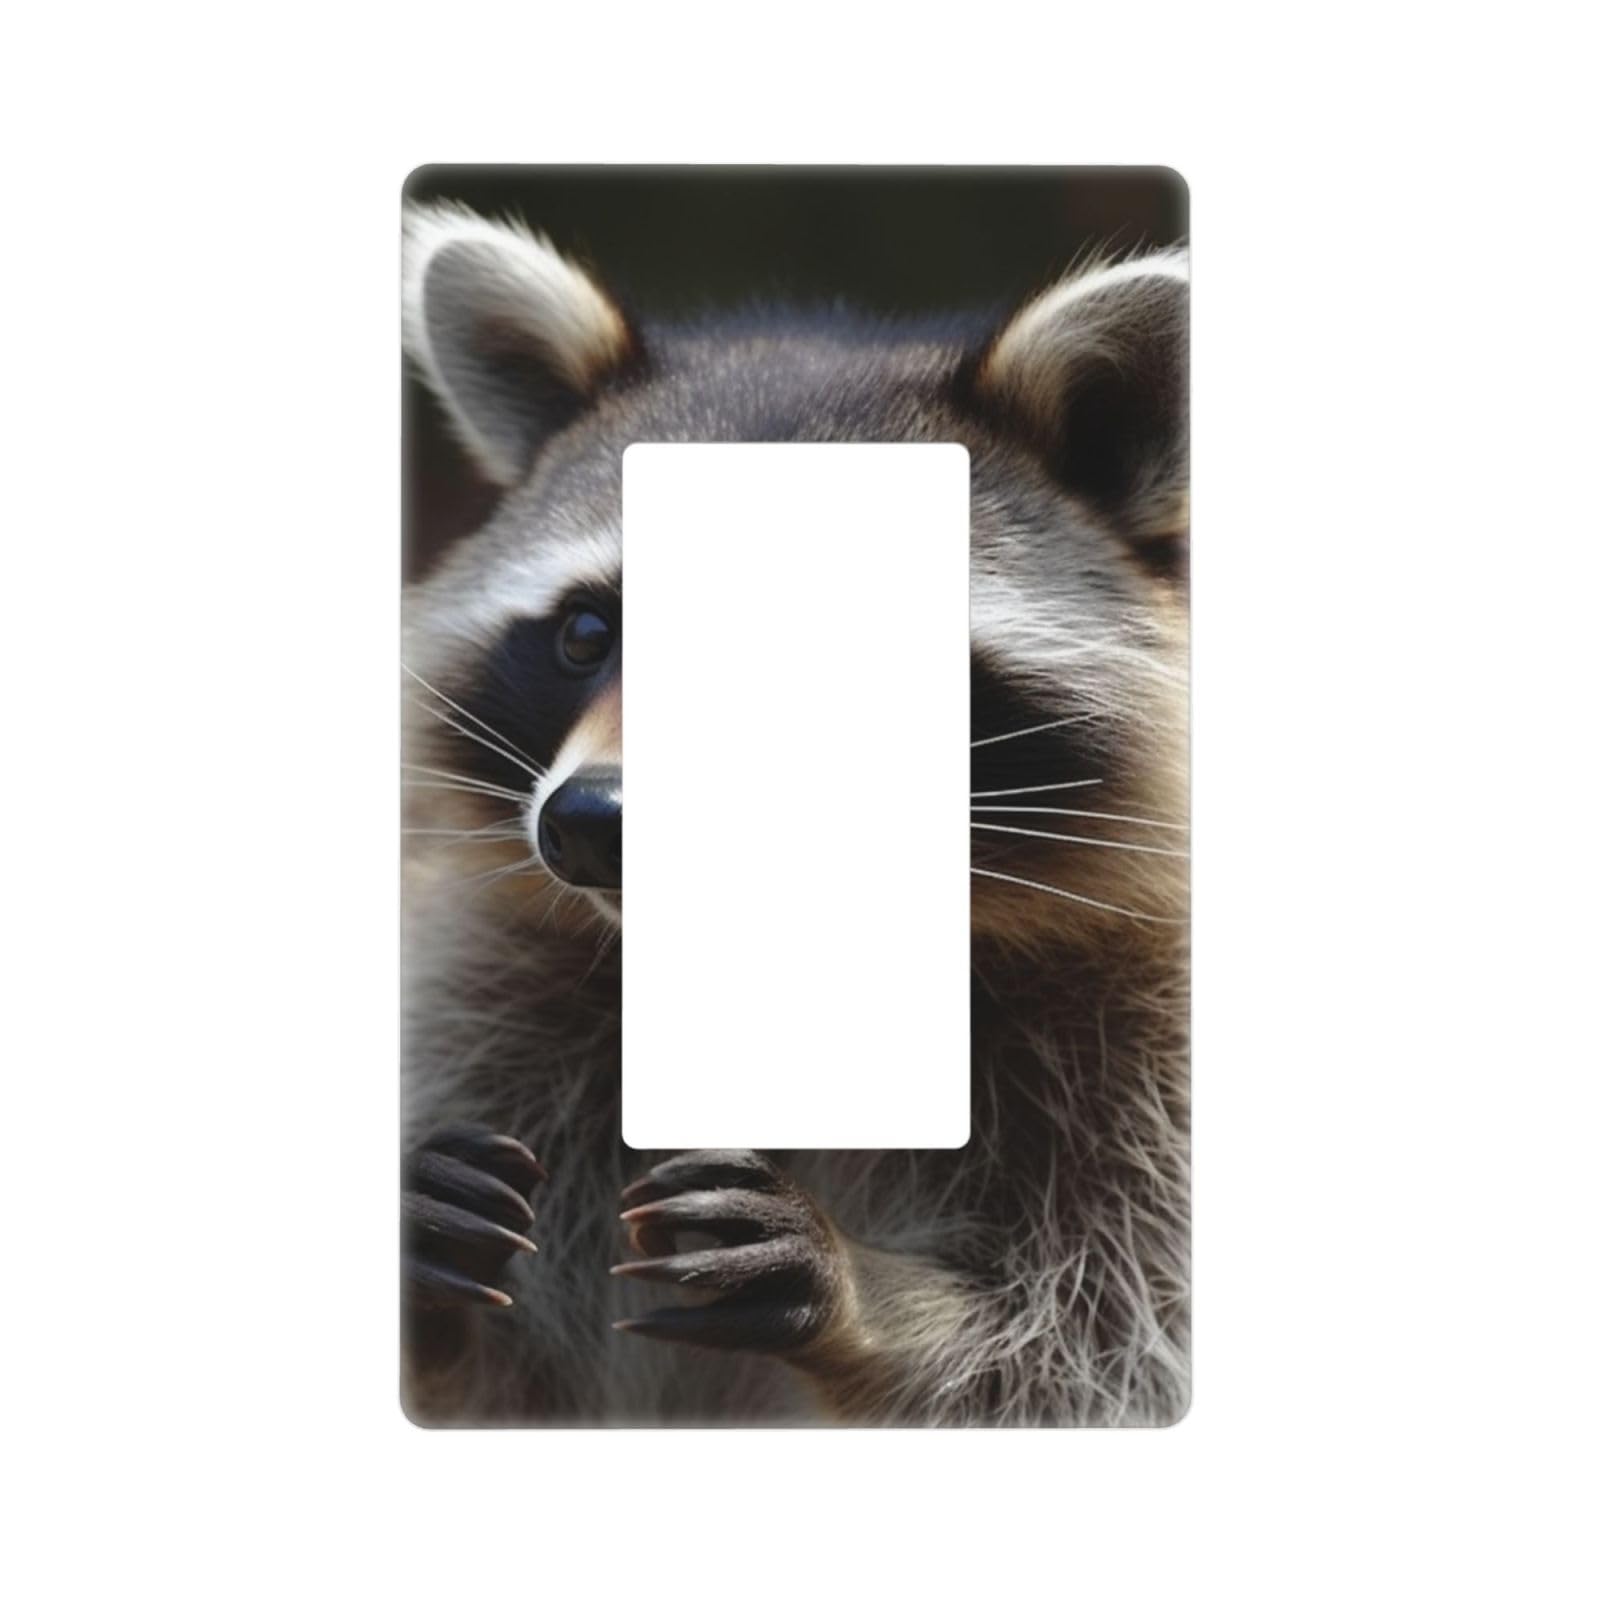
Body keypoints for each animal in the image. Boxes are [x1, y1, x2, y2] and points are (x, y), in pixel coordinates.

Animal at [401, 201, 1189, 1426]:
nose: (594, 821)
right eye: (586, 634)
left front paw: (874, 1300)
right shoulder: (493, 989)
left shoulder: (1150, 1049)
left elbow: (1098, 1355)